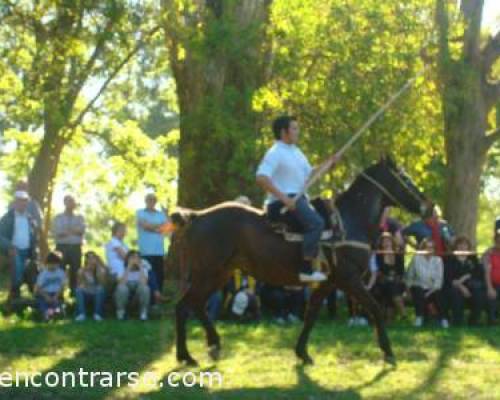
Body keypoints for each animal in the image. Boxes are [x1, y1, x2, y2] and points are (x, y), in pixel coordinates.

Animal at [167, 156, 430, 366]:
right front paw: (388, 351)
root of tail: (197, 216)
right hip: (207, 272)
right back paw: (186, 355)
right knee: (184, 306)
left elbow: (311, 313)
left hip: (219, 272)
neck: (348, 221)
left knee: (195, 304)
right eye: (404, 178)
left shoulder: (329, 282)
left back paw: (211, 345)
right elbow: (374, 307)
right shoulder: (349, 279)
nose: (428, 205)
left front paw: (302, 352)